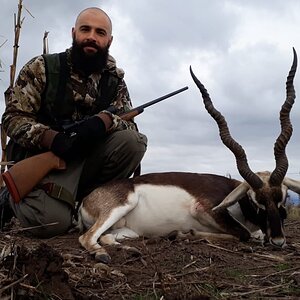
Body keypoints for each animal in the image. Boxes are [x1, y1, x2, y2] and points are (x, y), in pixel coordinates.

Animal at [78, 48, 300, 262]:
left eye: (284, 196)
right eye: (255, 201)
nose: (278, 241)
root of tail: (86, 199)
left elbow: (254, 234)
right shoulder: (205, 209)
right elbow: (244, 234)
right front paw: (183, 233)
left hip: (127, 230)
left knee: (106, 237)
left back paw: (130, 250)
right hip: (121, 206)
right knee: (86, 237)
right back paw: (103, 254)